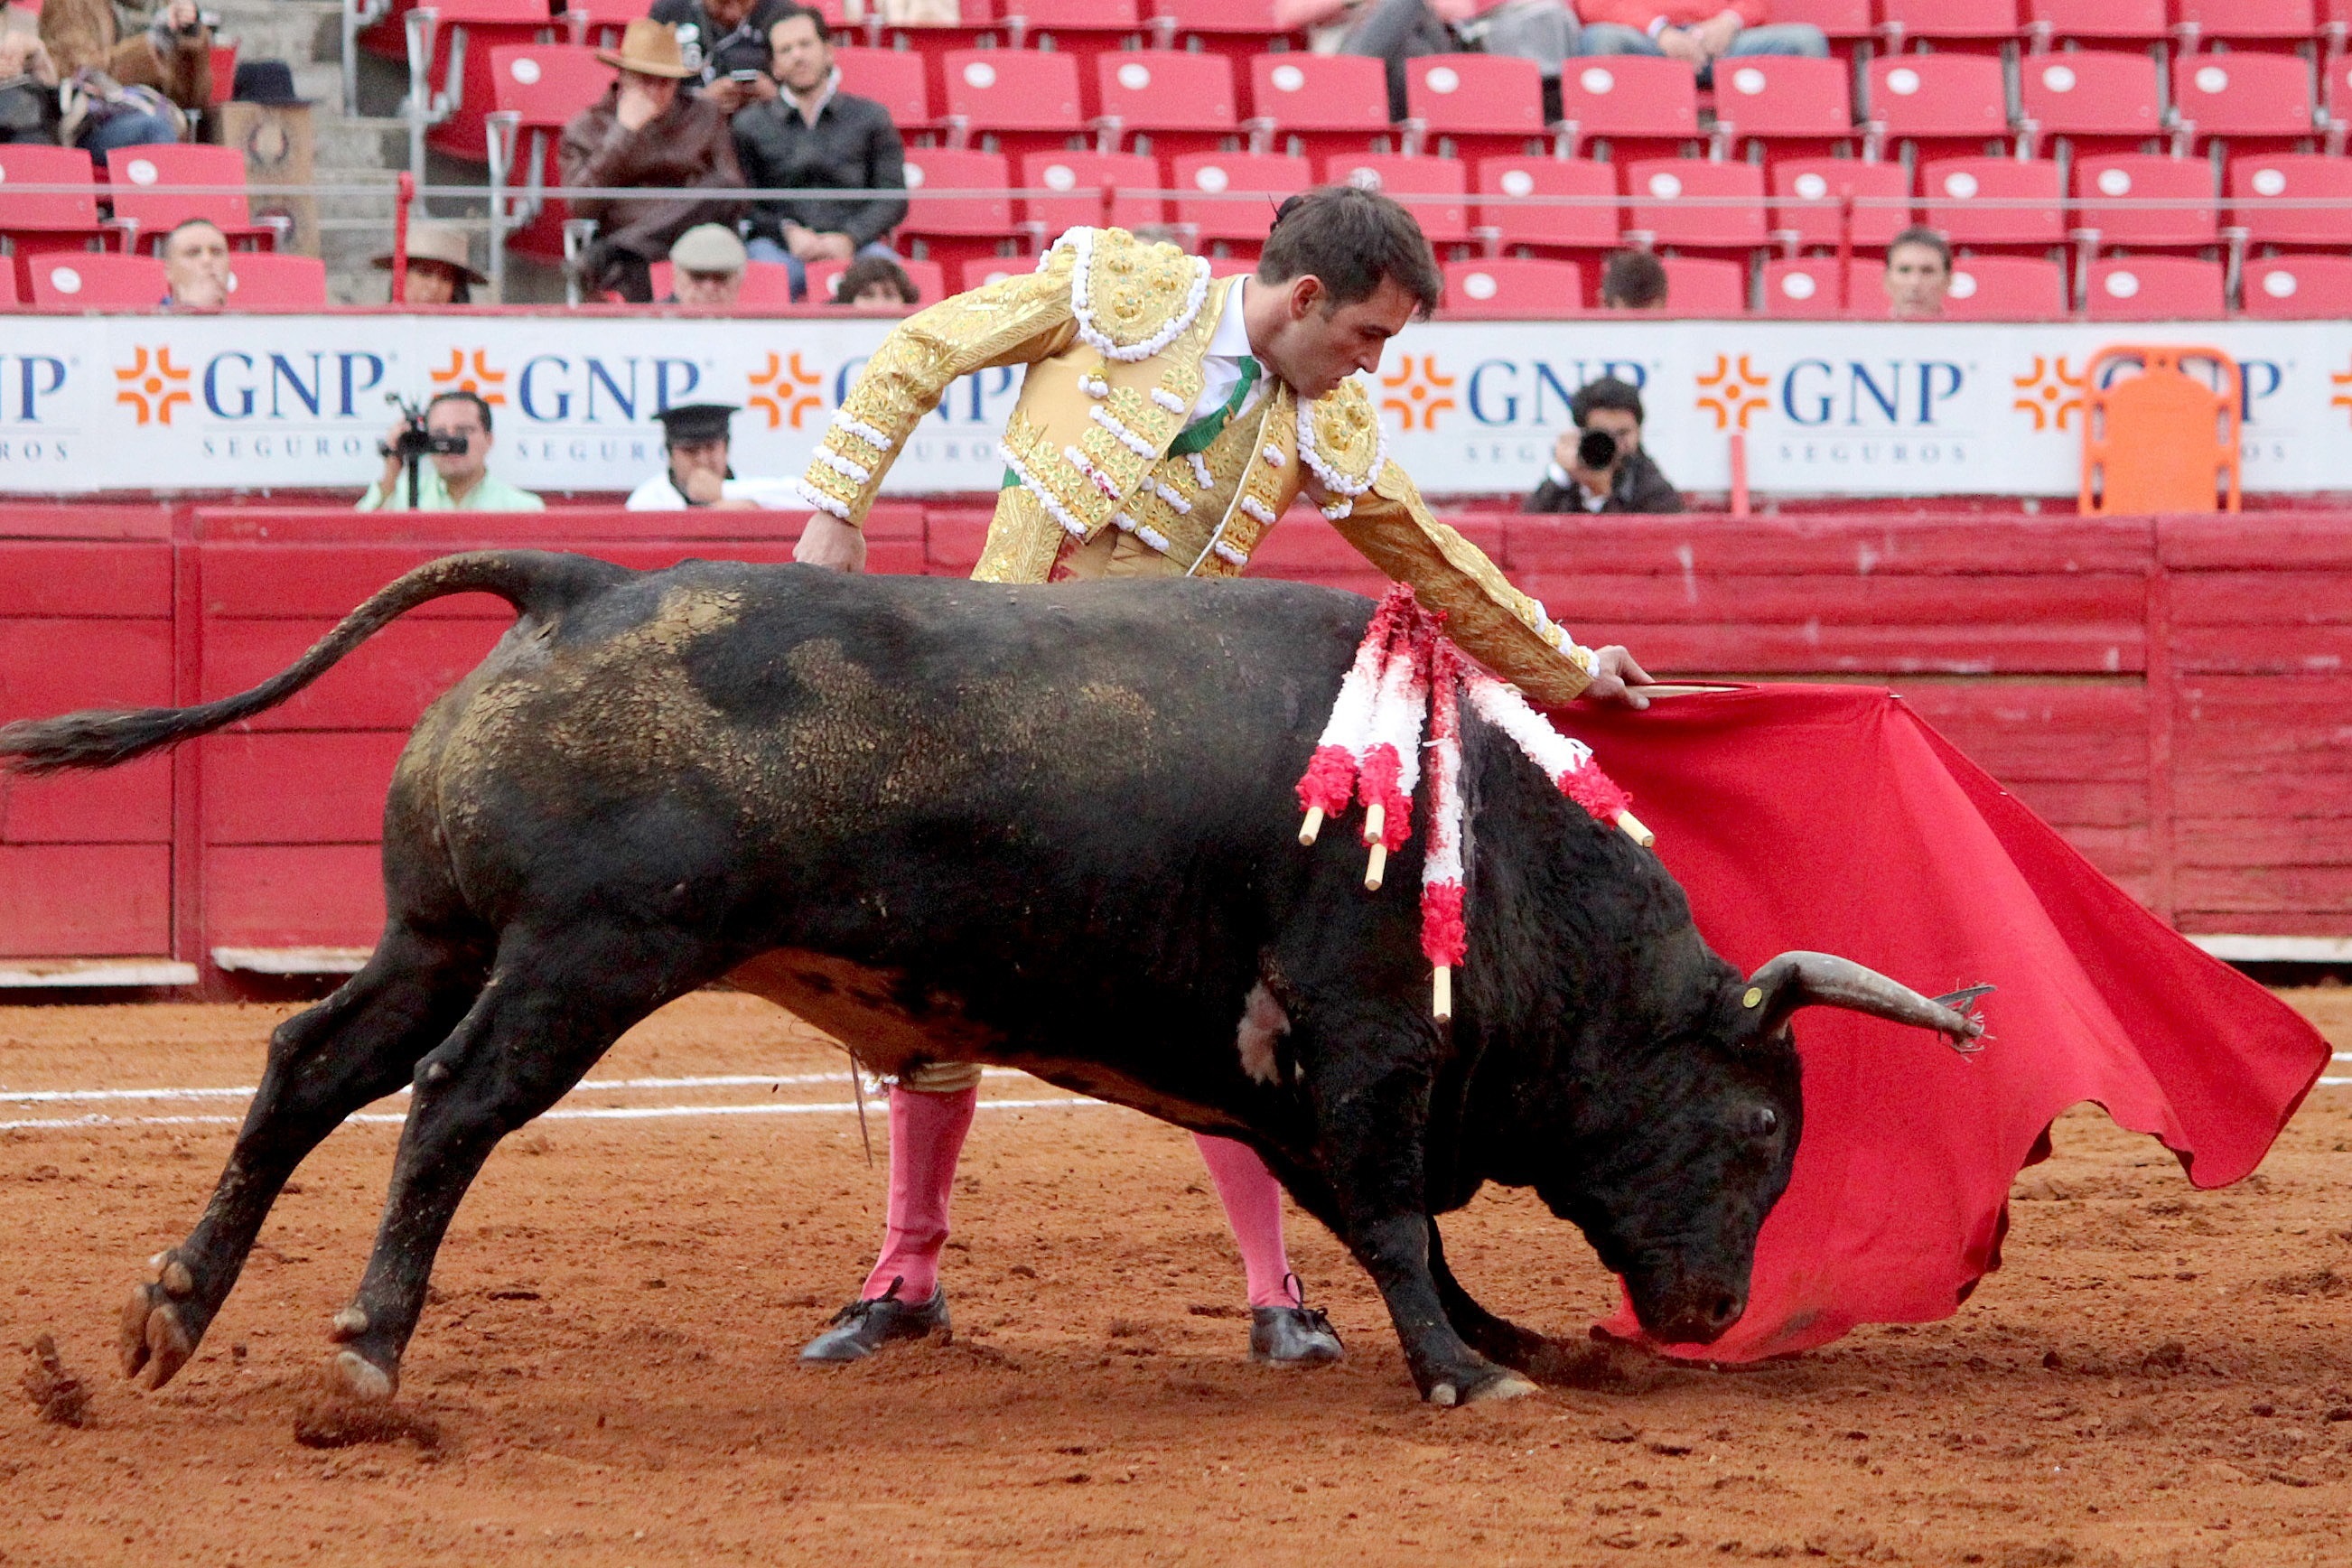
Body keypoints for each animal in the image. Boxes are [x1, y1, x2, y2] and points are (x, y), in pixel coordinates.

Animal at [0, 552, 1984, 1410]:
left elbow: (1381, 1220)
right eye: (1755, 1131)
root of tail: (573, 580)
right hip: (589, 955)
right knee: (451, 1105)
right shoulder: (1355, 1035)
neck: (1488, 848)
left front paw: (1504, 1344)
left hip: (441, 934)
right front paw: (1468, 1374)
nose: (1715, 1311)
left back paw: (172, 1312)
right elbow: (1394, 1212)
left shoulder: (1280, 1072)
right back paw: (364, 1348)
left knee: (307, 1067)